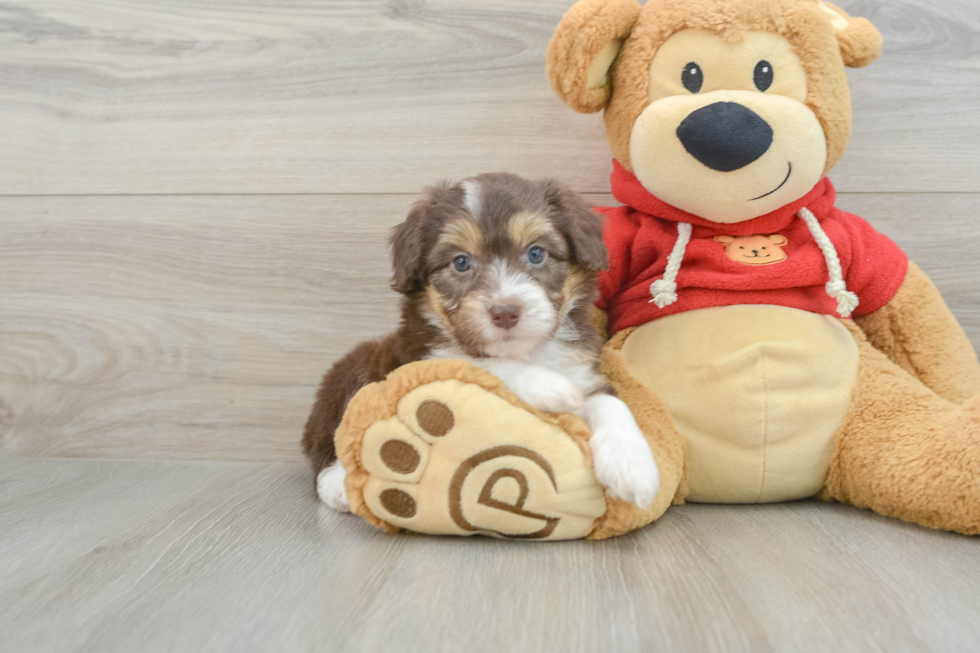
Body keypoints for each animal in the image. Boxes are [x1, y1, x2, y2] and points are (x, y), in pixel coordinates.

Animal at [304, 173, 660, 516]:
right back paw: (338, 485)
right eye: (461, 262)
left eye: (536, 253)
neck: (524, 352)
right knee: (330, 442)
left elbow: (611, 403)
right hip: (353, 371)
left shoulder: (582, 369)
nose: (505, 311)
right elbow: (480, 363)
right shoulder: (420, 358)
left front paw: (634, 467)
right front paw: (548, 386)